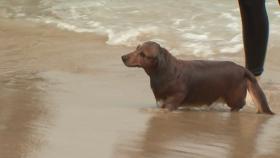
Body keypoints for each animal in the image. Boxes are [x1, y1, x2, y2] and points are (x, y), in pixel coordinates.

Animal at [121, 41, 272, 114]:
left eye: (143, 54)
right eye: (137, 48)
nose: (123, 57)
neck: (165, 72)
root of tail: (243, 69)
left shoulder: (176, 96)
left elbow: (169, 106)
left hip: (233, 97)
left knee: (240, 104)